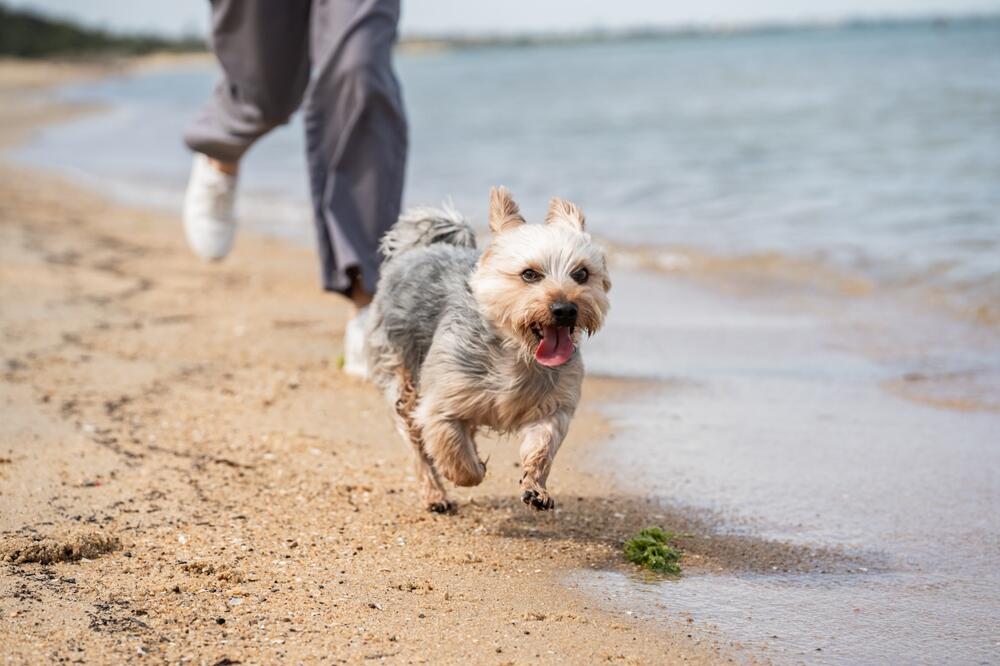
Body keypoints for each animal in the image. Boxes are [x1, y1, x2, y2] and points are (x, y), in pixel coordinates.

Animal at [366, 185, 608, 508]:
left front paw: (536, 488)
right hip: (400, 372)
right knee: (416, 441)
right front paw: (472, 469)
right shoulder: (441, 403)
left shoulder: (555, 406)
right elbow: (453, 451)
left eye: (581, 274)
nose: (565, 309)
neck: (515, 353)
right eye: (529, 274)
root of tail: (420, 251)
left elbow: (542, 444)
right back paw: (435, 494)